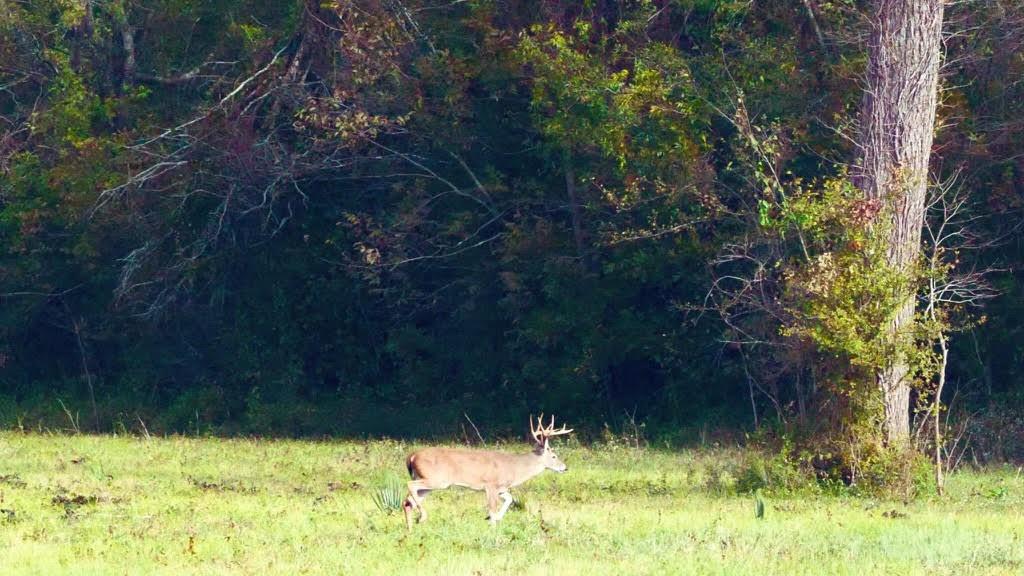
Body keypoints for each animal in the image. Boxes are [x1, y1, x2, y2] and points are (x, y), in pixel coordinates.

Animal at [401, 414, 577, 528]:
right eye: (554, 456)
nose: (565, 467)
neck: (515, 468)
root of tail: (412, 456)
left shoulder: (501, 488)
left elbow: (510, 499)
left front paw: (496, 518)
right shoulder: (491, 484)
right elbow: (492, 507)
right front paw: (492, 524)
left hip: (428, 483)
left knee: (408, 501)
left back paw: (411, 528)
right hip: (437, 479)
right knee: (410, 485)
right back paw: (422, 516)